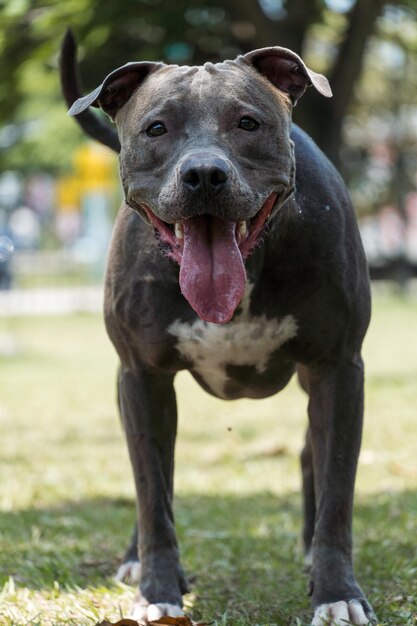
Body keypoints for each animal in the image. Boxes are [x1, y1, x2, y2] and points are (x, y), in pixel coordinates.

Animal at [59, 31, 374, 624]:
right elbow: (152, 493)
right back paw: (137, 560)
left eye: (248, 122)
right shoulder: (143, 378)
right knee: (153, 475)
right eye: (157, 128)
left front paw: (337, 592)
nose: (204, 174)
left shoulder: (338, 369)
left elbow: (338, 496)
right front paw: (158, 591)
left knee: (310, 458)